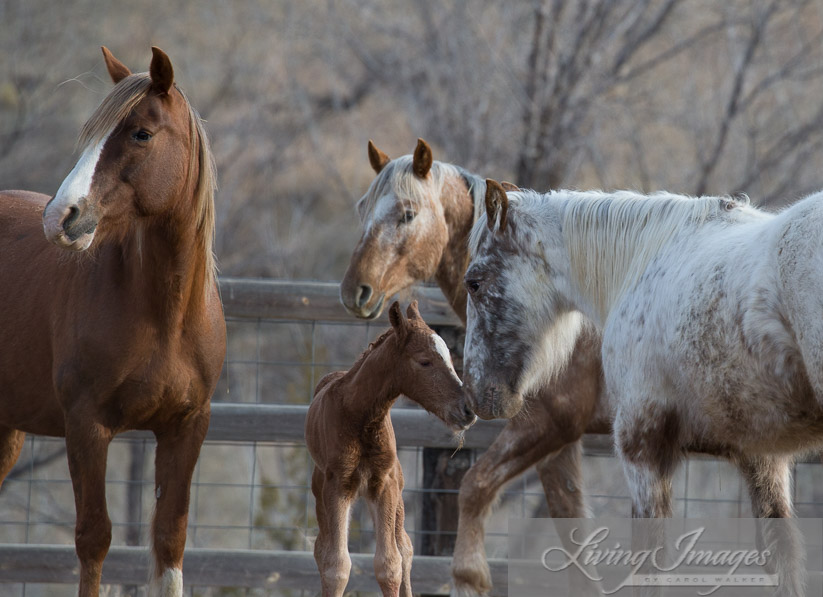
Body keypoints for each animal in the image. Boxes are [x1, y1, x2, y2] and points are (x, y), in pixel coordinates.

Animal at [0, 47, 225, 596]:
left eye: (141, 134)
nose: (59, 216)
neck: (165, 317)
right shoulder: (87, 427)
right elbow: (94, 540)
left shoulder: (187, 429)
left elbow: (169, 543)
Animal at [306, 300, 476, 596]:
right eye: (424, 361)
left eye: (450, 358)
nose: (467, 410)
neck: (359, 417)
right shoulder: (337, 486)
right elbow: (336, 565)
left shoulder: (385, 484)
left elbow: (389, 563)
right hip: (321, 492)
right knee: (321, 549)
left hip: (397, 490)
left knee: (405, 547)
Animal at [338, 140, 608, 596]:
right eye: (362, 208)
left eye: (408, 213)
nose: (354, 290)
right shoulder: (560, 447)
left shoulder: (548, 424)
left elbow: (474, 488)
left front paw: (470, 577)